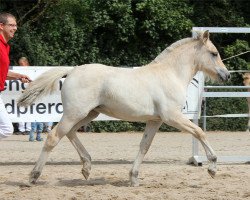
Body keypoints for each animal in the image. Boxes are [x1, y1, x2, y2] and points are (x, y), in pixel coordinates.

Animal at [18, 30, 230, 187]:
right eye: (214, 53)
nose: (226, 75)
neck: (170, 74)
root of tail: (73, 70)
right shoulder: (172, 116)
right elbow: (199, 131)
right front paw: (212, 167)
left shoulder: (155, 120)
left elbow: (144, 146)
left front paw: (133, 178)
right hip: (74, 113)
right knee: (54, 137)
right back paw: (33, 176)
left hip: (89, 113)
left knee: (70, 133)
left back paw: (86, 168)